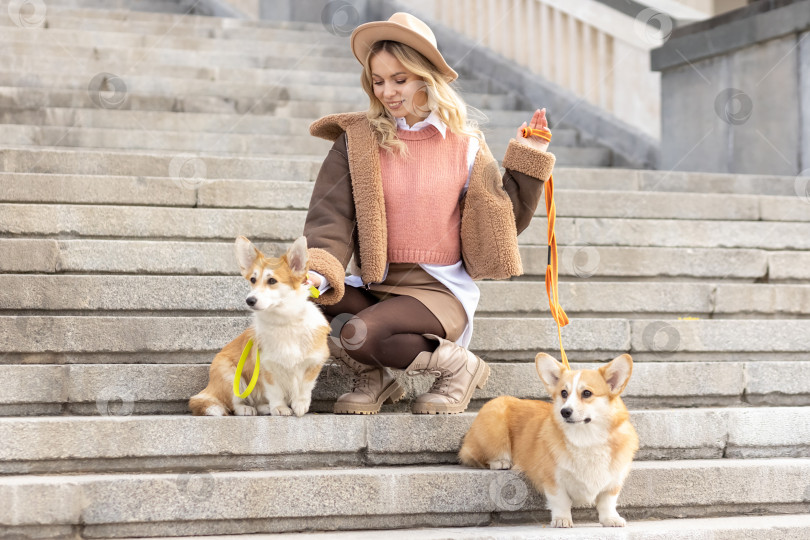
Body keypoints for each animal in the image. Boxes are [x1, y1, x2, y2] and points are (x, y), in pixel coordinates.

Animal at [189, 236, 328, 418]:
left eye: (272, 281)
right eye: (253, 280)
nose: (249, 300)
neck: (283, 321)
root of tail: (209, 388)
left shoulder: (313, 363)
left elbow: (304, 387)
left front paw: (300, 405)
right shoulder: (267, 368)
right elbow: (275, 391)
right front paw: (279, 408)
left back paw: (265, 407)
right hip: (229, 373)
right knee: (234, 402)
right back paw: (246, 408)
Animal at [458, 354, 636, 528]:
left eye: (587, 393)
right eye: (563, 393)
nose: (565, 411)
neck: (586, 439)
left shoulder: (614, 481)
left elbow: (607, 502)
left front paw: (611, 519)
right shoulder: (553, 479)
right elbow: (560, 501)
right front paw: (562, 519)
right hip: (494, 426)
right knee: (474, 455)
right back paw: (501, 462)